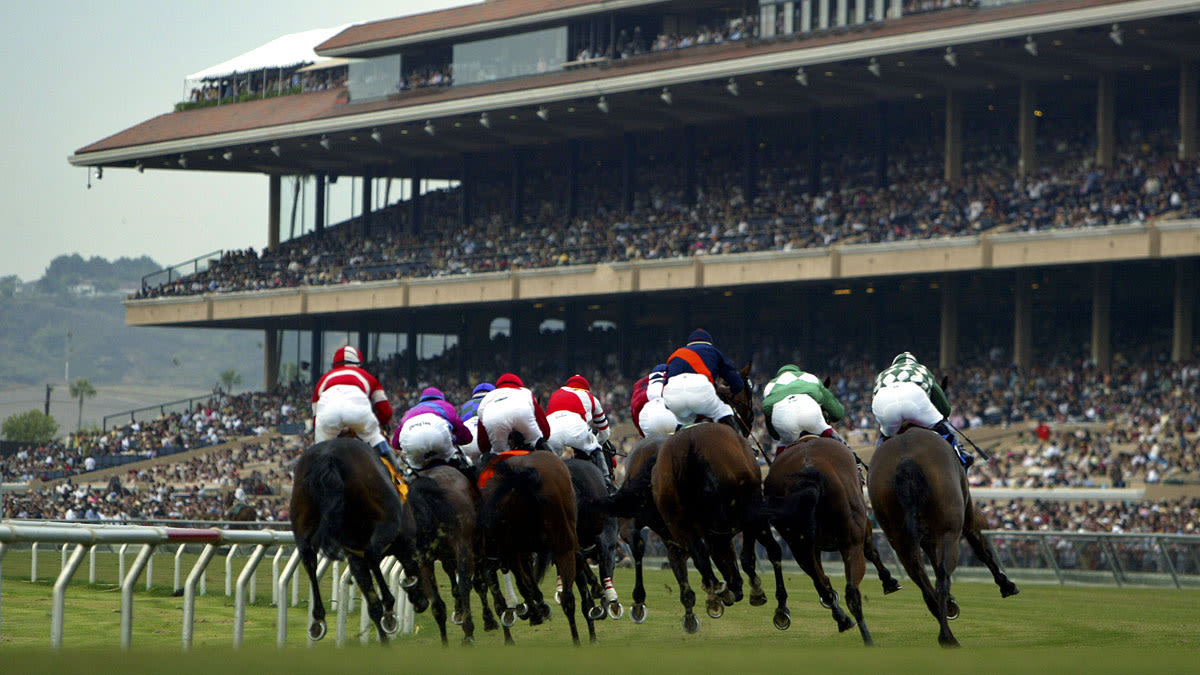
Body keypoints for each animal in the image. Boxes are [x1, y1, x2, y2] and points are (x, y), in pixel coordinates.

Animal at [288, 437, 410, 638]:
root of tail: (328, 457)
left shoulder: (353, 552)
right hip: (386, 521)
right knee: (372, 555)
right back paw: (390, 610)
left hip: (302, 519)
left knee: (308, 559)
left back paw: (318, 620)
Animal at [648, 362, 787, 629]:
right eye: (749, 391)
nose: (751, 419)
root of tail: (689, 446)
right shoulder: (753, 511)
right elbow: (760, 553)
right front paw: (773, 601)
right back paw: (730, 590)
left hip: (678, 521)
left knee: (701, 556)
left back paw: (716, 594)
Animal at [768, 432, 902, 643]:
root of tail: (810, 471)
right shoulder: (864, 524)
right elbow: (871, 550)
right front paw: (889, 581)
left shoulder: (811, 545)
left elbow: (822, 579)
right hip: (850, 538)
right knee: (852, 590)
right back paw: (865, 636)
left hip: (797, 543)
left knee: (822, 582)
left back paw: (843, 620)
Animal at [868, 427, 1017, 643]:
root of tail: (905, 462)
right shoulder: (965, 512)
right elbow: (980, 548)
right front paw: (1006, 585)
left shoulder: (924, 535)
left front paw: (951, 604)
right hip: (948, 530)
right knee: (942, 578)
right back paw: (948, 636)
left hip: (898, 536)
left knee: (920, 577)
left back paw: (944, 614)